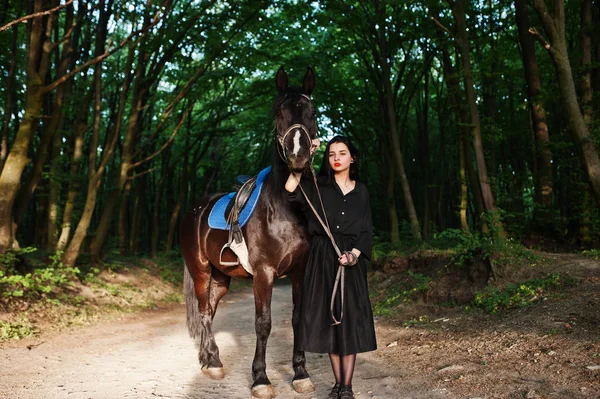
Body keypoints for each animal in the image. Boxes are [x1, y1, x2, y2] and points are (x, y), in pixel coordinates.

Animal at [179, 67, 316, 398]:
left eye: (312, 112)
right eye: (278, 112)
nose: (298, 155)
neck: (285, 204)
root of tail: (194, 211)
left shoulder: (300, 271)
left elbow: (297, 319)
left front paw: (300, 374)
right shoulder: (264, 273)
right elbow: (263, 323)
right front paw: (261, 379)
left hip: (221, 279)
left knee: (210, 311)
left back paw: (208, 358)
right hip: (201, 272)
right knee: (204, 312)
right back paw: (214, 363)